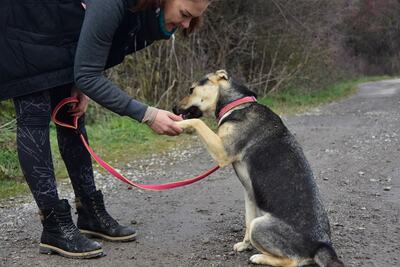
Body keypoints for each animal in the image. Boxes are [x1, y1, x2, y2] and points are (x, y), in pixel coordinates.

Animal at [172, 70, 344, 266]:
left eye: (191, 89)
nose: (173, 108)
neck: (236, 104)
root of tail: (321, 245)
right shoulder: (249, 193)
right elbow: (247, 220)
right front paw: (245, 245)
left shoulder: (223, 151)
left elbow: (196, 122)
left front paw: (176, 123)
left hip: (260, 226)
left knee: (291, 261)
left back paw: (259, 257)